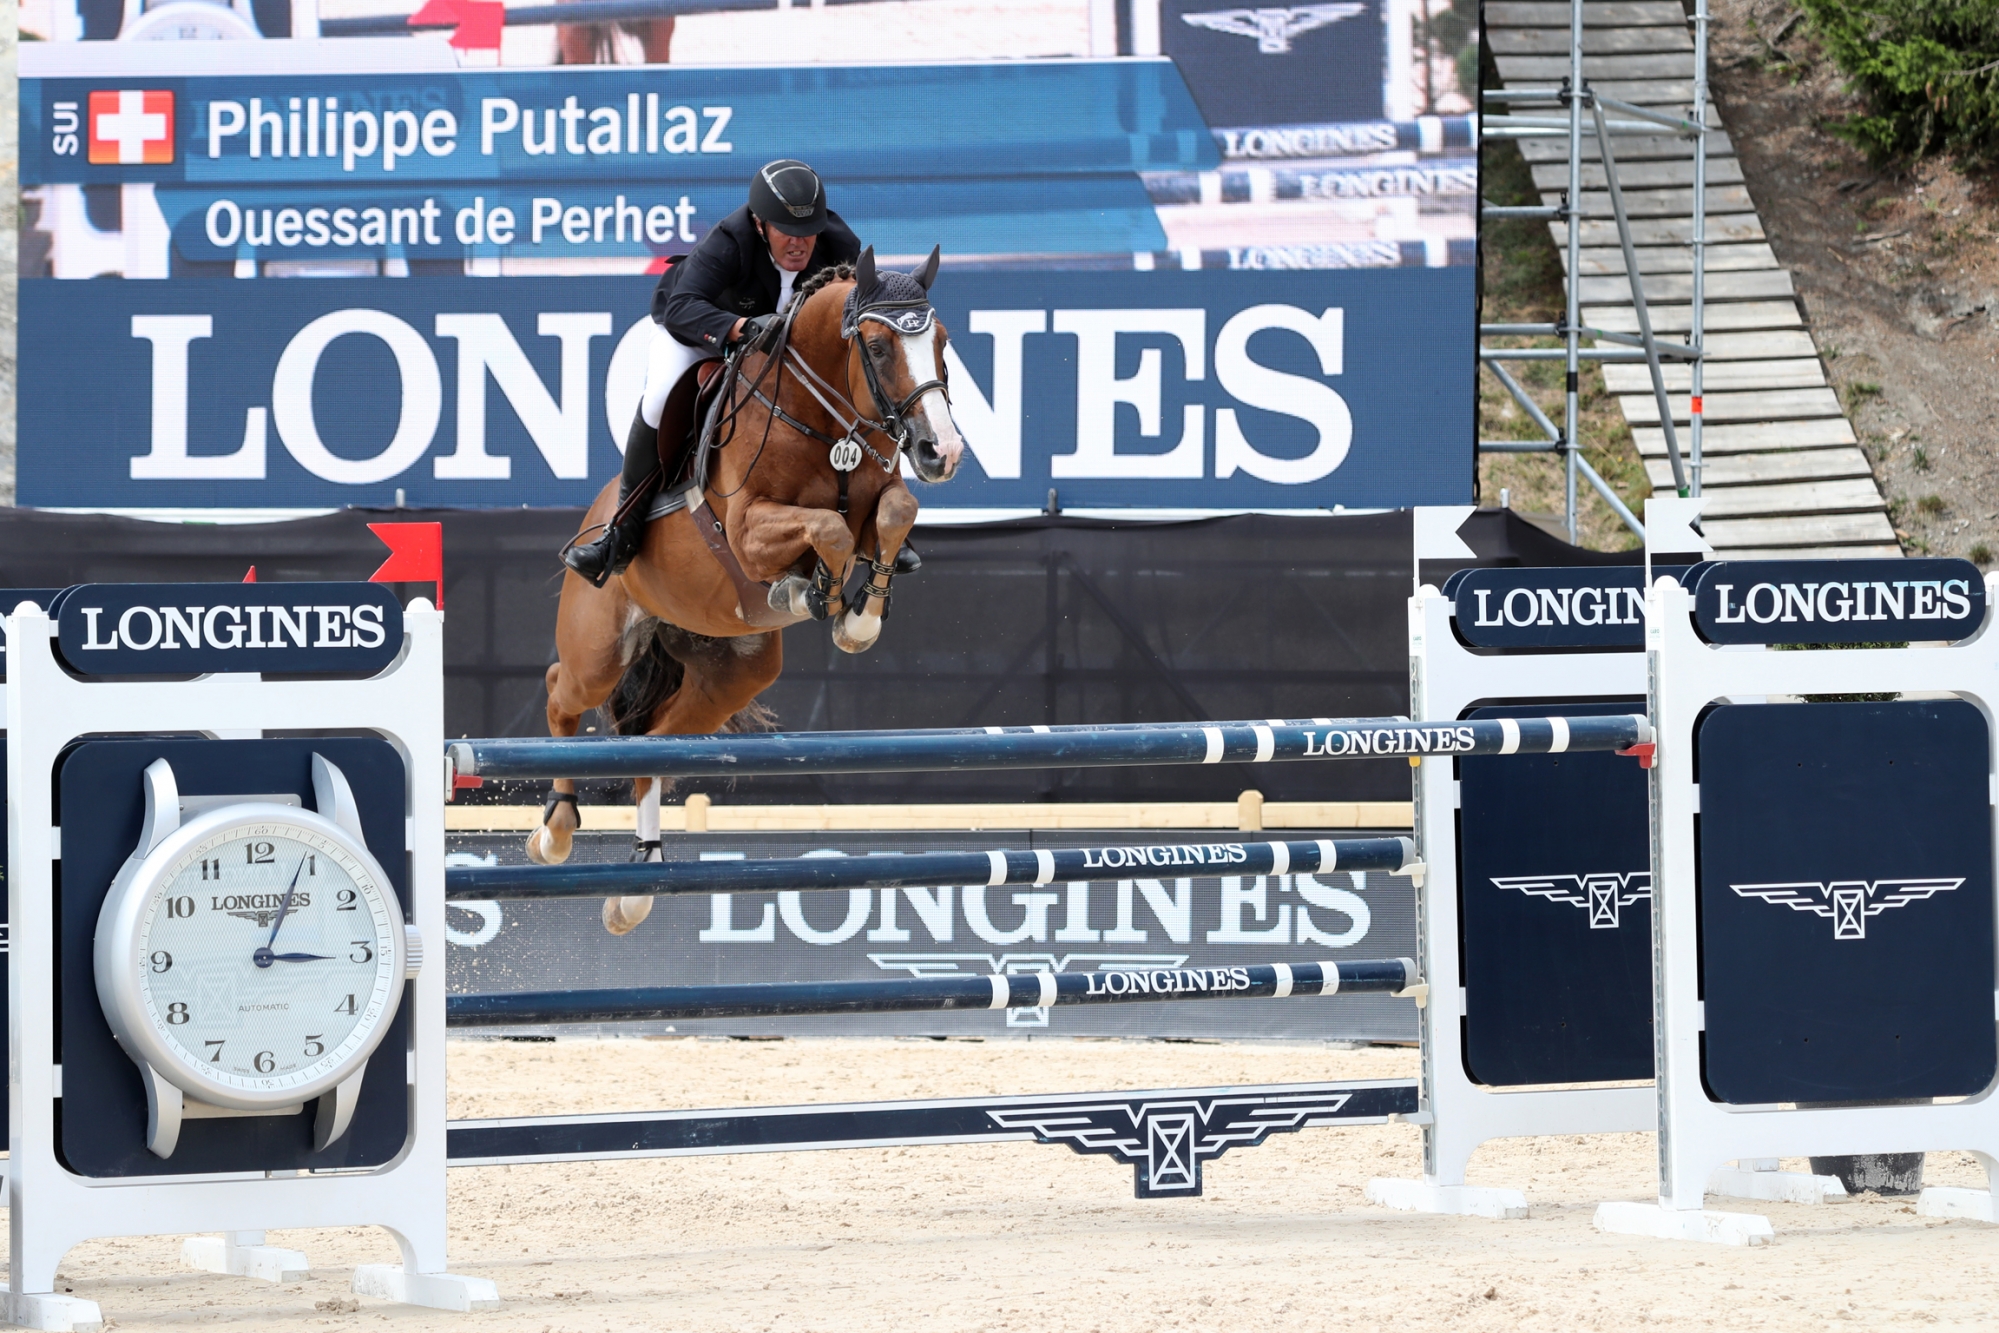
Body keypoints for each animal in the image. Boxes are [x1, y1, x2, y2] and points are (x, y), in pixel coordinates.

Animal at [531, 252, 967, 939]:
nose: (939, 451)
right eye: (876, 346)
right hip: (599, 647)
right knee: (560, 690)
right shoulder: (746, 531)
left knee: (655, 745)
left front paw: (856, 618)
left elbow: (895, 509)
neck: (819, 415)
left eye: (942, 342)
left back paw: (636, 887)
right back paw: (554, 831)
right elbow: (828, 527)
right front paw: (812, 593)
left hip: (732, 672)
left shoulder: (878, 502)